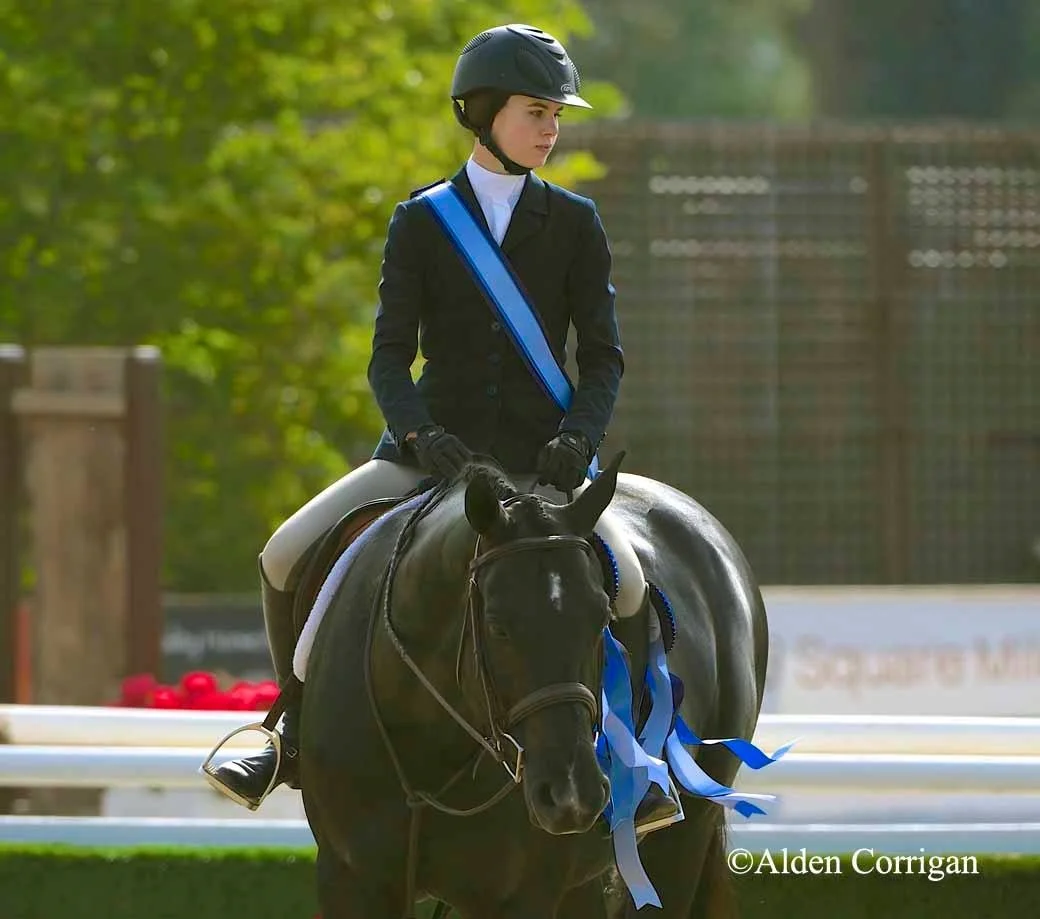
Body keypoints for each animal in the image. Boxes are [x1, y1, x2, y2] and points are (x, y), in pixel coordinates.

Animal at [298, 451, 769, 918]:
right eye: (497, 626)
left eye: (602, 618)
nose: (571, 795)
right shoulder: (349, 879)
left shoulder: (523, 892)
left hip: (682, 841)